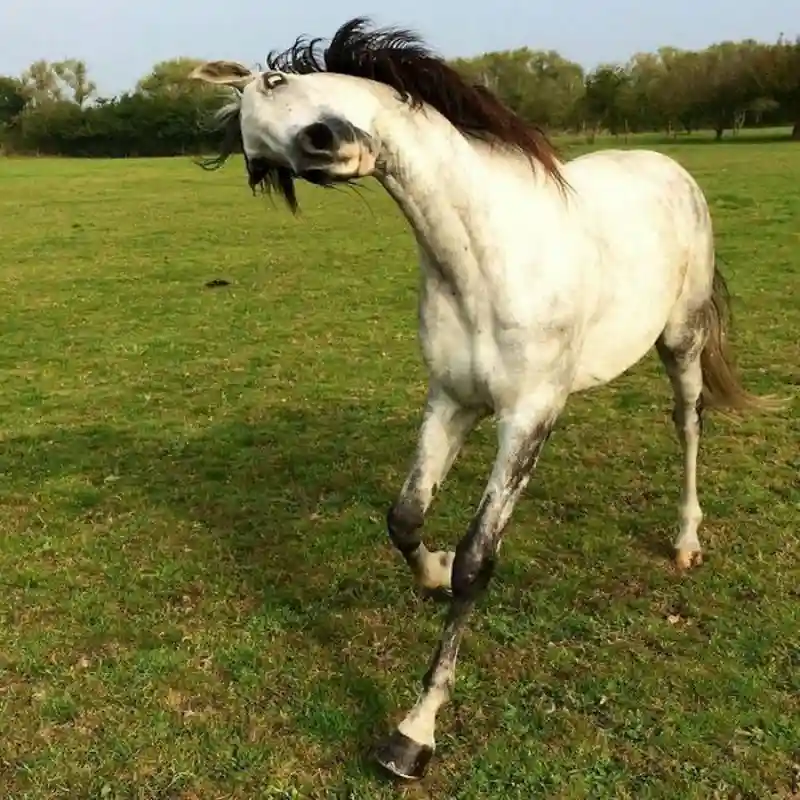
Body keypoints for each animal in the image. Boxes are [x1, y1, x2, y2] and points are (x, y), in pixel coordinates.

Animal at [189, 17, 780, 780]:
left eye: (277, 80)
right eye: (262, 160)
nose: (327, 145)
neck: (486, 253)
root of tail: (669, 166)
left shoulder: (525, 417)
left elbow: (479, 561)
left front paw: (413, 734)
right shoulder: (452, 401)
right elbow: (405, 518)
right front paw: (432, 572)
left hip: (680, 342)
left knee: (687, 424)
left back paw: (685, 542)